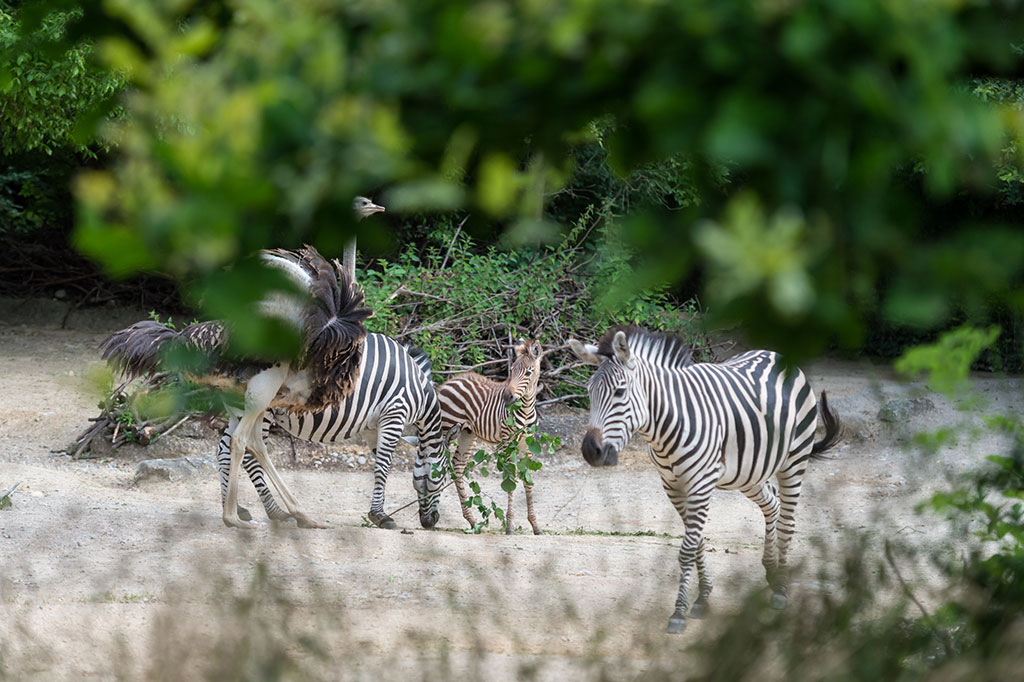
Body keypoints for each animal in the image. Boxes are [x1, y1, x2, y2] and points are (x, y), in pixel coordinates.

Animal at [218, 338, 448, 530]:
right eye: (445, 475)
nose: (431, 521)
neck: (420, 393)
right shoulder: (394, 415)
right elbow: (382, 468)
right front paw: (380, 516)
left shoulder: (372, 426)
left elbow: (380, 465)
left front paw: (377, 512)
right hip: (263, 407)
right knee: (249, 454)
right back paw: (275, 511)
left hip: (239, 409)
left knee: (224, 449)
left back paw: (234, 509)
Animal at [436, 339, 544, 535]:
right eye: (512, 370)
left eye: (528, 372)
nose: (507, 396)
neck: (524, 410)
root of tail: (451, 380)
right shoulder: (508, 443)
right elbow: (511, 480)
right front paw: (509, 525)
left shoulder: (527, 444)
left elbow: (528, 481)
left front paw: (535, 525)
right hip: (446, 428)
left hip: (467, 432)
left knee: (457, 465)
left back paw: (472, 520)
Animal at [569, 326, 841, 634]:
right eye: (589, 392)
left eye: (619, 392)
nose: (590, 451)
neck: (666, 424)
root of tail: (775, 353)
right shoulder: (673, 485)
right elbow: (696, 540)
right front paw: (703, 598)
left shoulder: (700, 483)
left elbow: (687, 547)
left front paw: (678, 612)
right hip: (747, 472)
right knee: (771, 504)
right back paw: (772, 572)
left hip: (794, 460)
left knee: (787, 521)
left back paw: (781, 589)